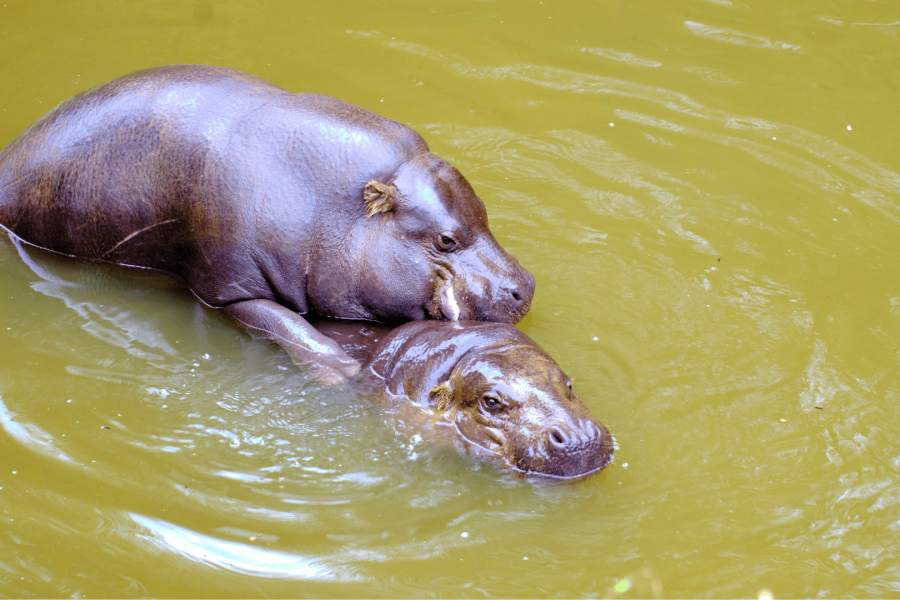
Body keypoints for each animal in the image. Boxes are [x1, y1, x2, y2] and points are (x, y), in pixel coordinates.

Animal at [0, 65, 536, 382]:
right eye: (445, 240)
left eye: (484, 210)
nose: (525, 286)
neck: (337, 206)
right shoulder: (230, 288)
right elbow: (289, 327)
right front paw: (343, 369)